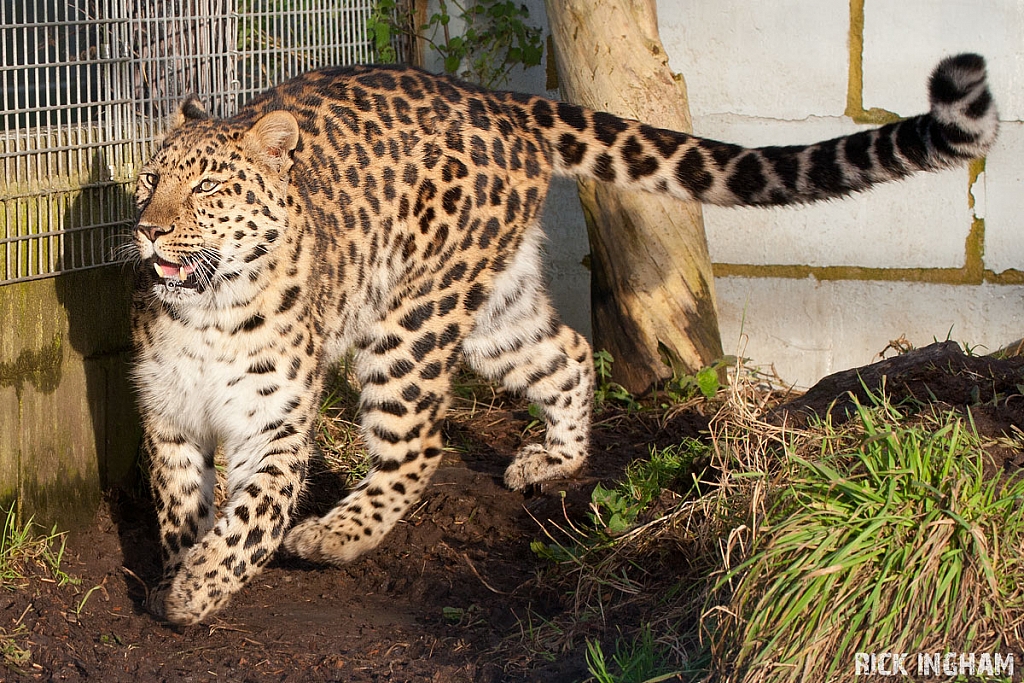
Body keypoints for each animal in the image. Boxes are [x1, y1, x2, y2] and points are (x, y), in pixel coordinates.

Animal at [132, 53, 995, 622]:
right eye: (148, 178)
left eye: (207, 187)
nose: (148, 229)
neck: (207, 309)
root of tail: (500, 101)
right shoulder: (168, 416)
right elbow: (178, 502)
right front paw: (180, 567)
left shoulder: (272, 425)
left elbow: (251, 516)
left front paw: (200, 588)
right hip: (488, 308)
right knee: (568, 352)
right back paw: (555, 458)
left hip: (410, 321)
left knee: (417, 446)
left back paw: (337, 534)